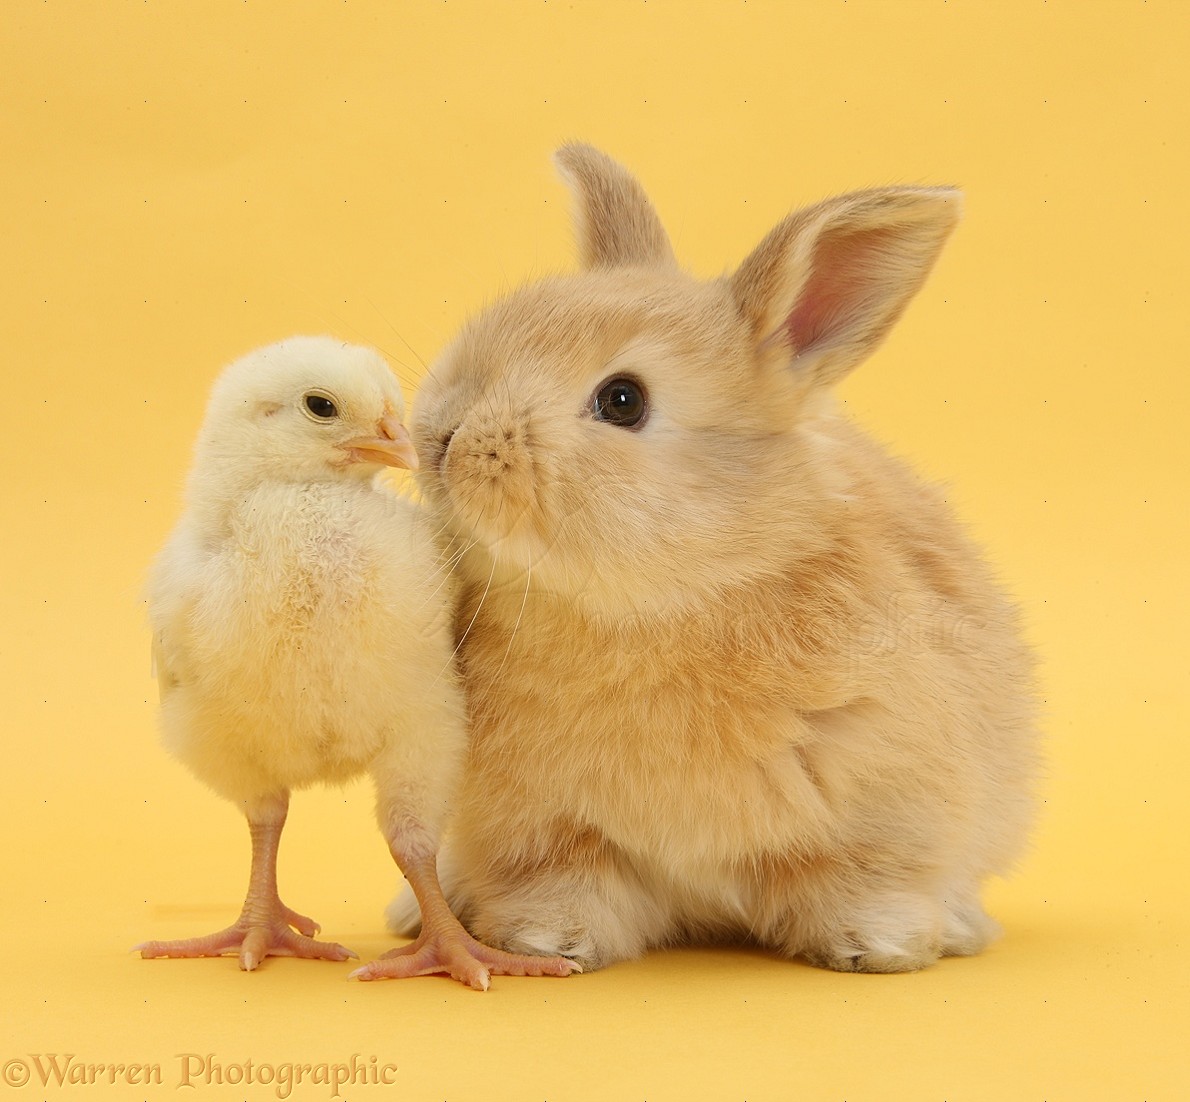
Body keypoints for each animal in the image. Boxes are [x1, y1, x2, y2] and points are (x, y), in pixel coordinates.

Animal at [390, 143, 1038, 974]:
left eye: (624, 400)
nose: (441, 435)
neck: (663, 603)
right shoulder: (540, 825)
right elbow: (564, 876)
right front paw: (551, 941)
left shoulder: (883, 809)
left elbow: (859, 879)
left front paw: (878, 947)